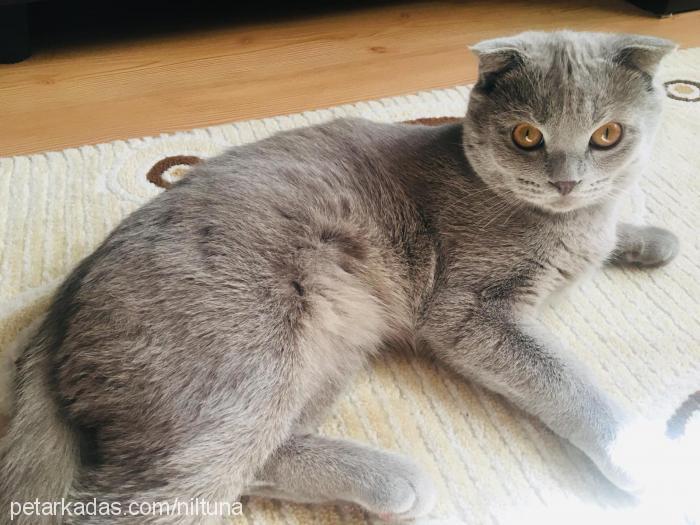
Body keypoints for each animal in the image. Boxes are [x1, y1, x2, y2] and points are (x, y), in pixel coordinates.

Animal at [0, 30, 680, 520]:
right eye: (526, 136)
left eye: (607, 135)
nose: (566, 180)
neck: (571, 221)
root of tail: (64, 299)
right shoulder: (471, 313)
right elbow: (567, 381)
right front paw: (641, 454)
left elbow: (614, 233)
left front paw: (652, 239)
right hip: (253, 361)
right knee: (156, 489)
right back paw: (397, 482)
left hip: (331, 346)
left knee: (261, 456)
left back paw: (389, 483)